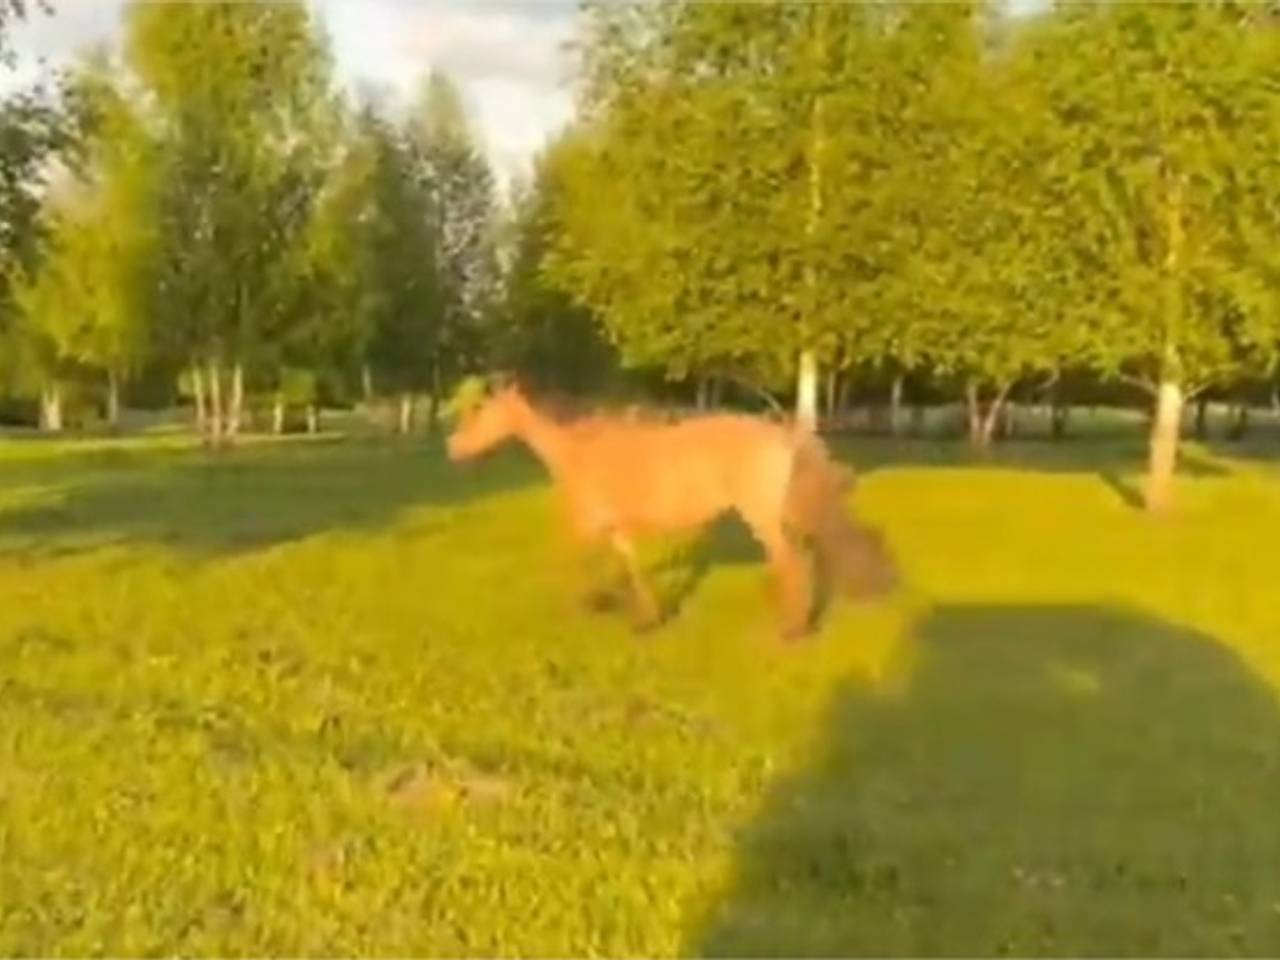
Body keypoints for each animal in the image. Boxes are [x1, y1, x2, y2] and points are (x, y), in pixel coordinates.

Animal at [446, 380, 898, 640]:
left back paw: (792, 631)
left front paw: (583, 608)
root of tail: (784, 435)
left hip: (761, 515)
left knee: (790, 562)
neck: (580, 452)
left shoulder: (586, 525)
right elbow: (631, 567)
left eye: (483, 411)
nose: (453, 448)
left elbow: (570, 562)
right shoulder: (615, 529)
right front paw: (647, 619)